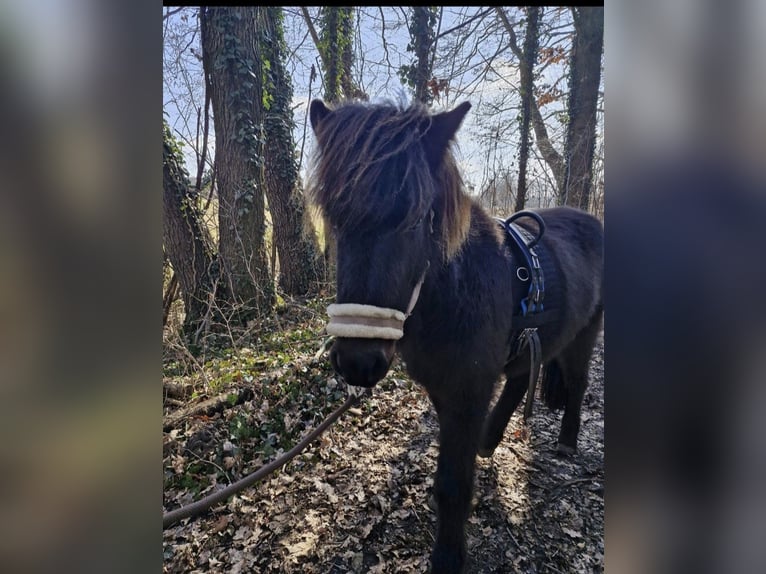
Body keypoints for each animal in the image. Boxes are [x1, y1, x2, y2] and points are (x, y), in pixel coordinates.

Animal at [307, 98, 603, 574]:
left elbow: (453, 482)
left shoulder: (468, 391)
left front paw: (447, 555)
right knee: (522, 375)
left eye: (416, 220)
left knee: (576, 383)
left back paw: (567, 442)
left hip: (586, 333)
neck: (453, 292)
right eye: (334, 220)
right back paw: (491, 439)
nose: (358, 362)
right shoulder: (444, 389)